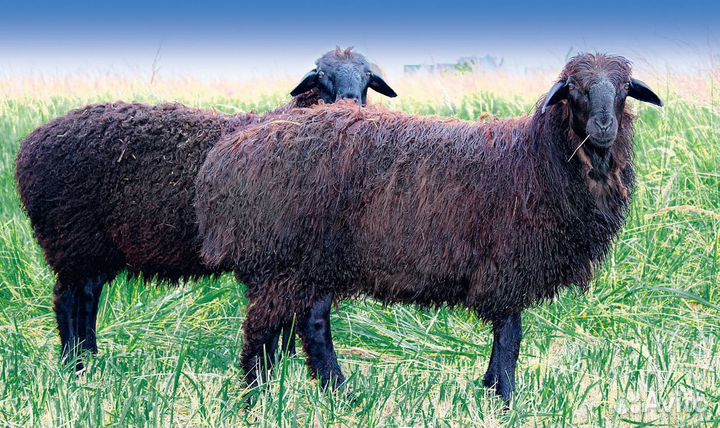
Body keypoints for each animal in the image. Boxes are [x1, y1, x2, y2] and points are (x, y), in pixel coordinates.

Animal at [15, 47, 398, 371]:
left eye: (367, 80)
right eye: (321, 78)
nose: (350, 104)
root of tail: (30, 144)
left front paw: (286, 366)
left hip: (96, 246)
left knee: (87, 298)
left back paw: (91, 358)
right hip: (71, 238)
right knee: (67, 301)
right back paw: (73, 365)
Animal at [195, 53, 663, 401]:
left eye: (624, 89)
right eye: (576, 90)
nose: (604, 127)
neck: (534, 158)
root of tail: (232, 149)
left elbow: (506, 339)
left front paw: (491, 389)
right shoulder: (506, 267)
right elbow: (511, 338)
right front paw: (505, 398)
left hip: (308, 263)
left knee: (301, 326)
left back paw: (329, 392)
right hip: (286, 259)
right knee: (265, 333)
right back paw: (258, 399)